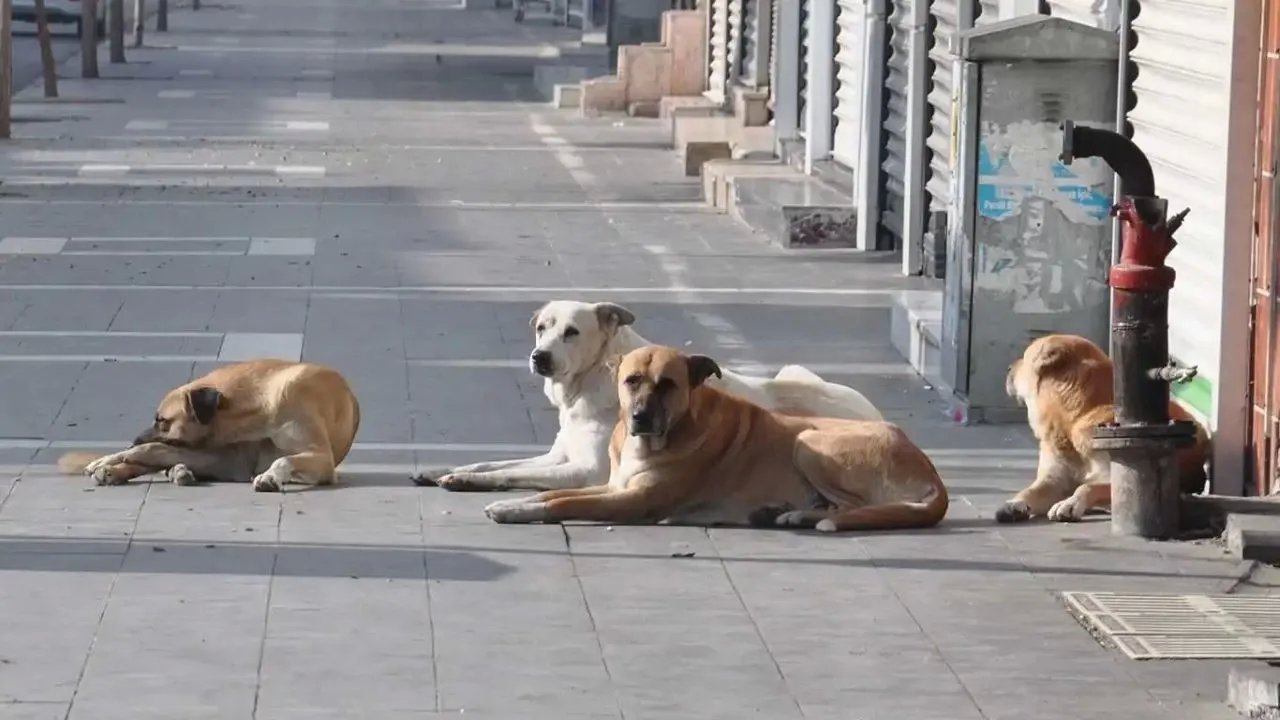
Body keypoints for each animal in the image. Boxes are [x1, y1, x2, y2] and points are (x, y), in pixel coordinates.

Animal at [58, 356, 360, 489]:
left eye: (162, 420)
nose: (133, 438)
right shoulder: (227, 457)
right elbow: (148, 450)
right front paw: (109, 459)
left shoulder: (322, 459)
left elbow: (283, 459)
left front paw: (271, 476)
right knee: (156, 457)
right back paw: (115, 469)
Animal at [409, 299, 880, 489]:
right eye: (542, 328)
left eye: (572, 332)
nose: (539, 357)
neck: (589, 384)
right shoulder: (558, 455)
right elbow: (493, 461)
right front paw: (445, 471)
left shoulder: (585, 471)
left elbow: (510, 474)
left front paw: (467, 482)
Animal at [483, 345, 947, 530]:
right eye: (631, 381)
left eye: (667, 384)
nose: (640, 417)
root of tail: (931, 473)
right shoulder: (613, 486)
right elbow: (549, 494)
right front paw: (513, 503)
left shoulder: (631, 500)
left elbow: (561, 503)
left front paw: (515, 511)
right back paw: (787, 513)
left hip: (809, 443)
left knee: (856, 507)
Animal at [998, 330, 1208, 520]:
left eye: (1024, 358)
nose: (1007, 368)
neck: (1077, 417)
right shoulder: (1053, 481)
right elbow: (1030, 490)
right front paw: (1015, 502)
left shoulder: (1117, 476)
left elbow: (1087, 486)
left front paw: (1070, 503)